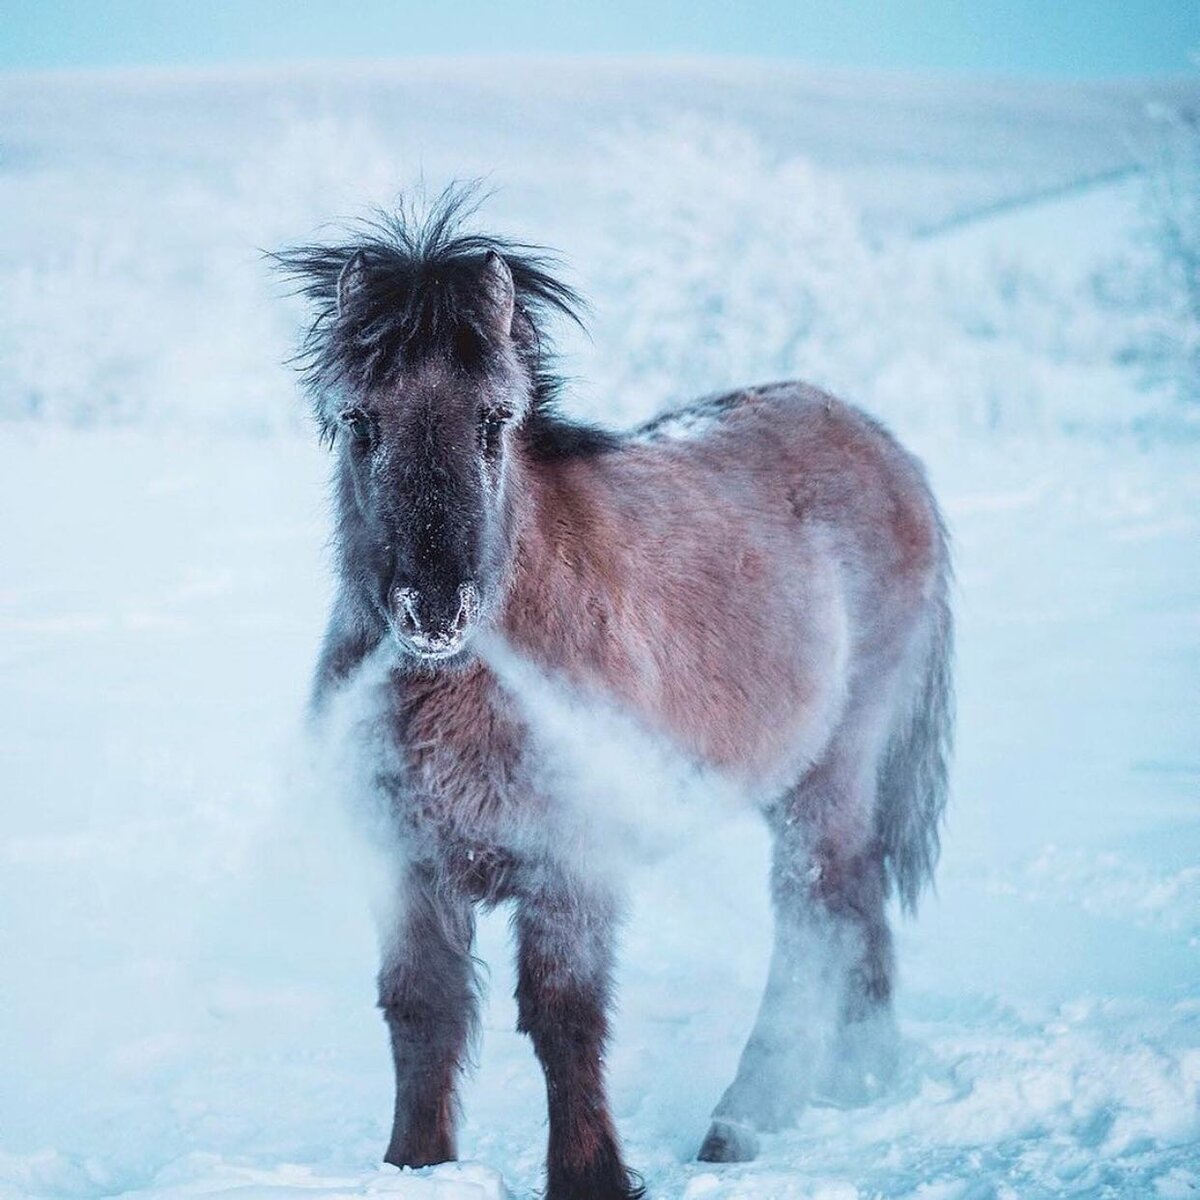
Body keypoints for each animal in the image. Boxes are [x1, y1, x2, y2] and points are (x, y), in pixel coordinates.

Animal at [276, 189, 950, 1200]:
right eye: (361, 421)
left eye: (495, 420)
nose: (434, 606)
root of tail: (883, 448)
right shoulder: (407, 865)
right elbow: (421, 1014)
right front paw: (415, 1166)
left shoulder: (572, 864)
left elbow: (564, 1019)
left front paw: (591, 1175)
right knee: (854, 913)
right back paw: (852, 1082)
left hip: (833, 773)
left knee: (818, 922)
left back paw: (746, 1120)